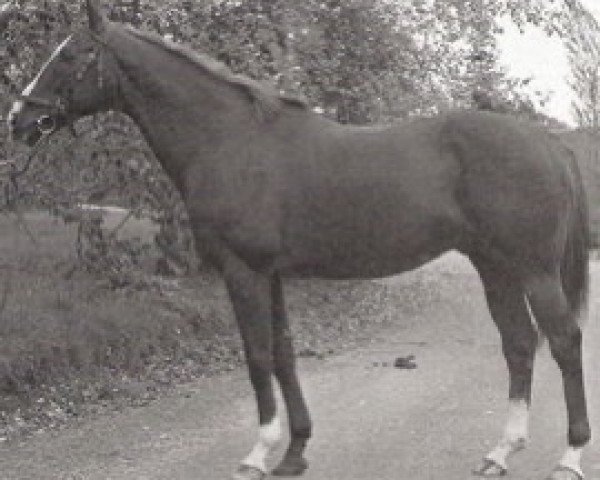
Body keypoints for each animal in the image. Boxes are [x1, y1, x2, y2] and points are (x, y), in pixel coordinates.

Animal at [7, 1, 592, 478]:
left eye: (71, 55)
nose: (20, 118)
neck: (230, 140)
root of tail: (548, 142)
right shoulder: (271, 274)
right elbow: (285, 353)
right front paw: (295, 451)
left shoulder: (243, 271)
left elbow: (258, 354)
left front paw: (258, 454)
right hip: (495, 268)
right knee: (519, 344)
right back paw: (500, 452)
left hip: (534, 271)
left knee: (564, 341)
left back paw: (570, 456)